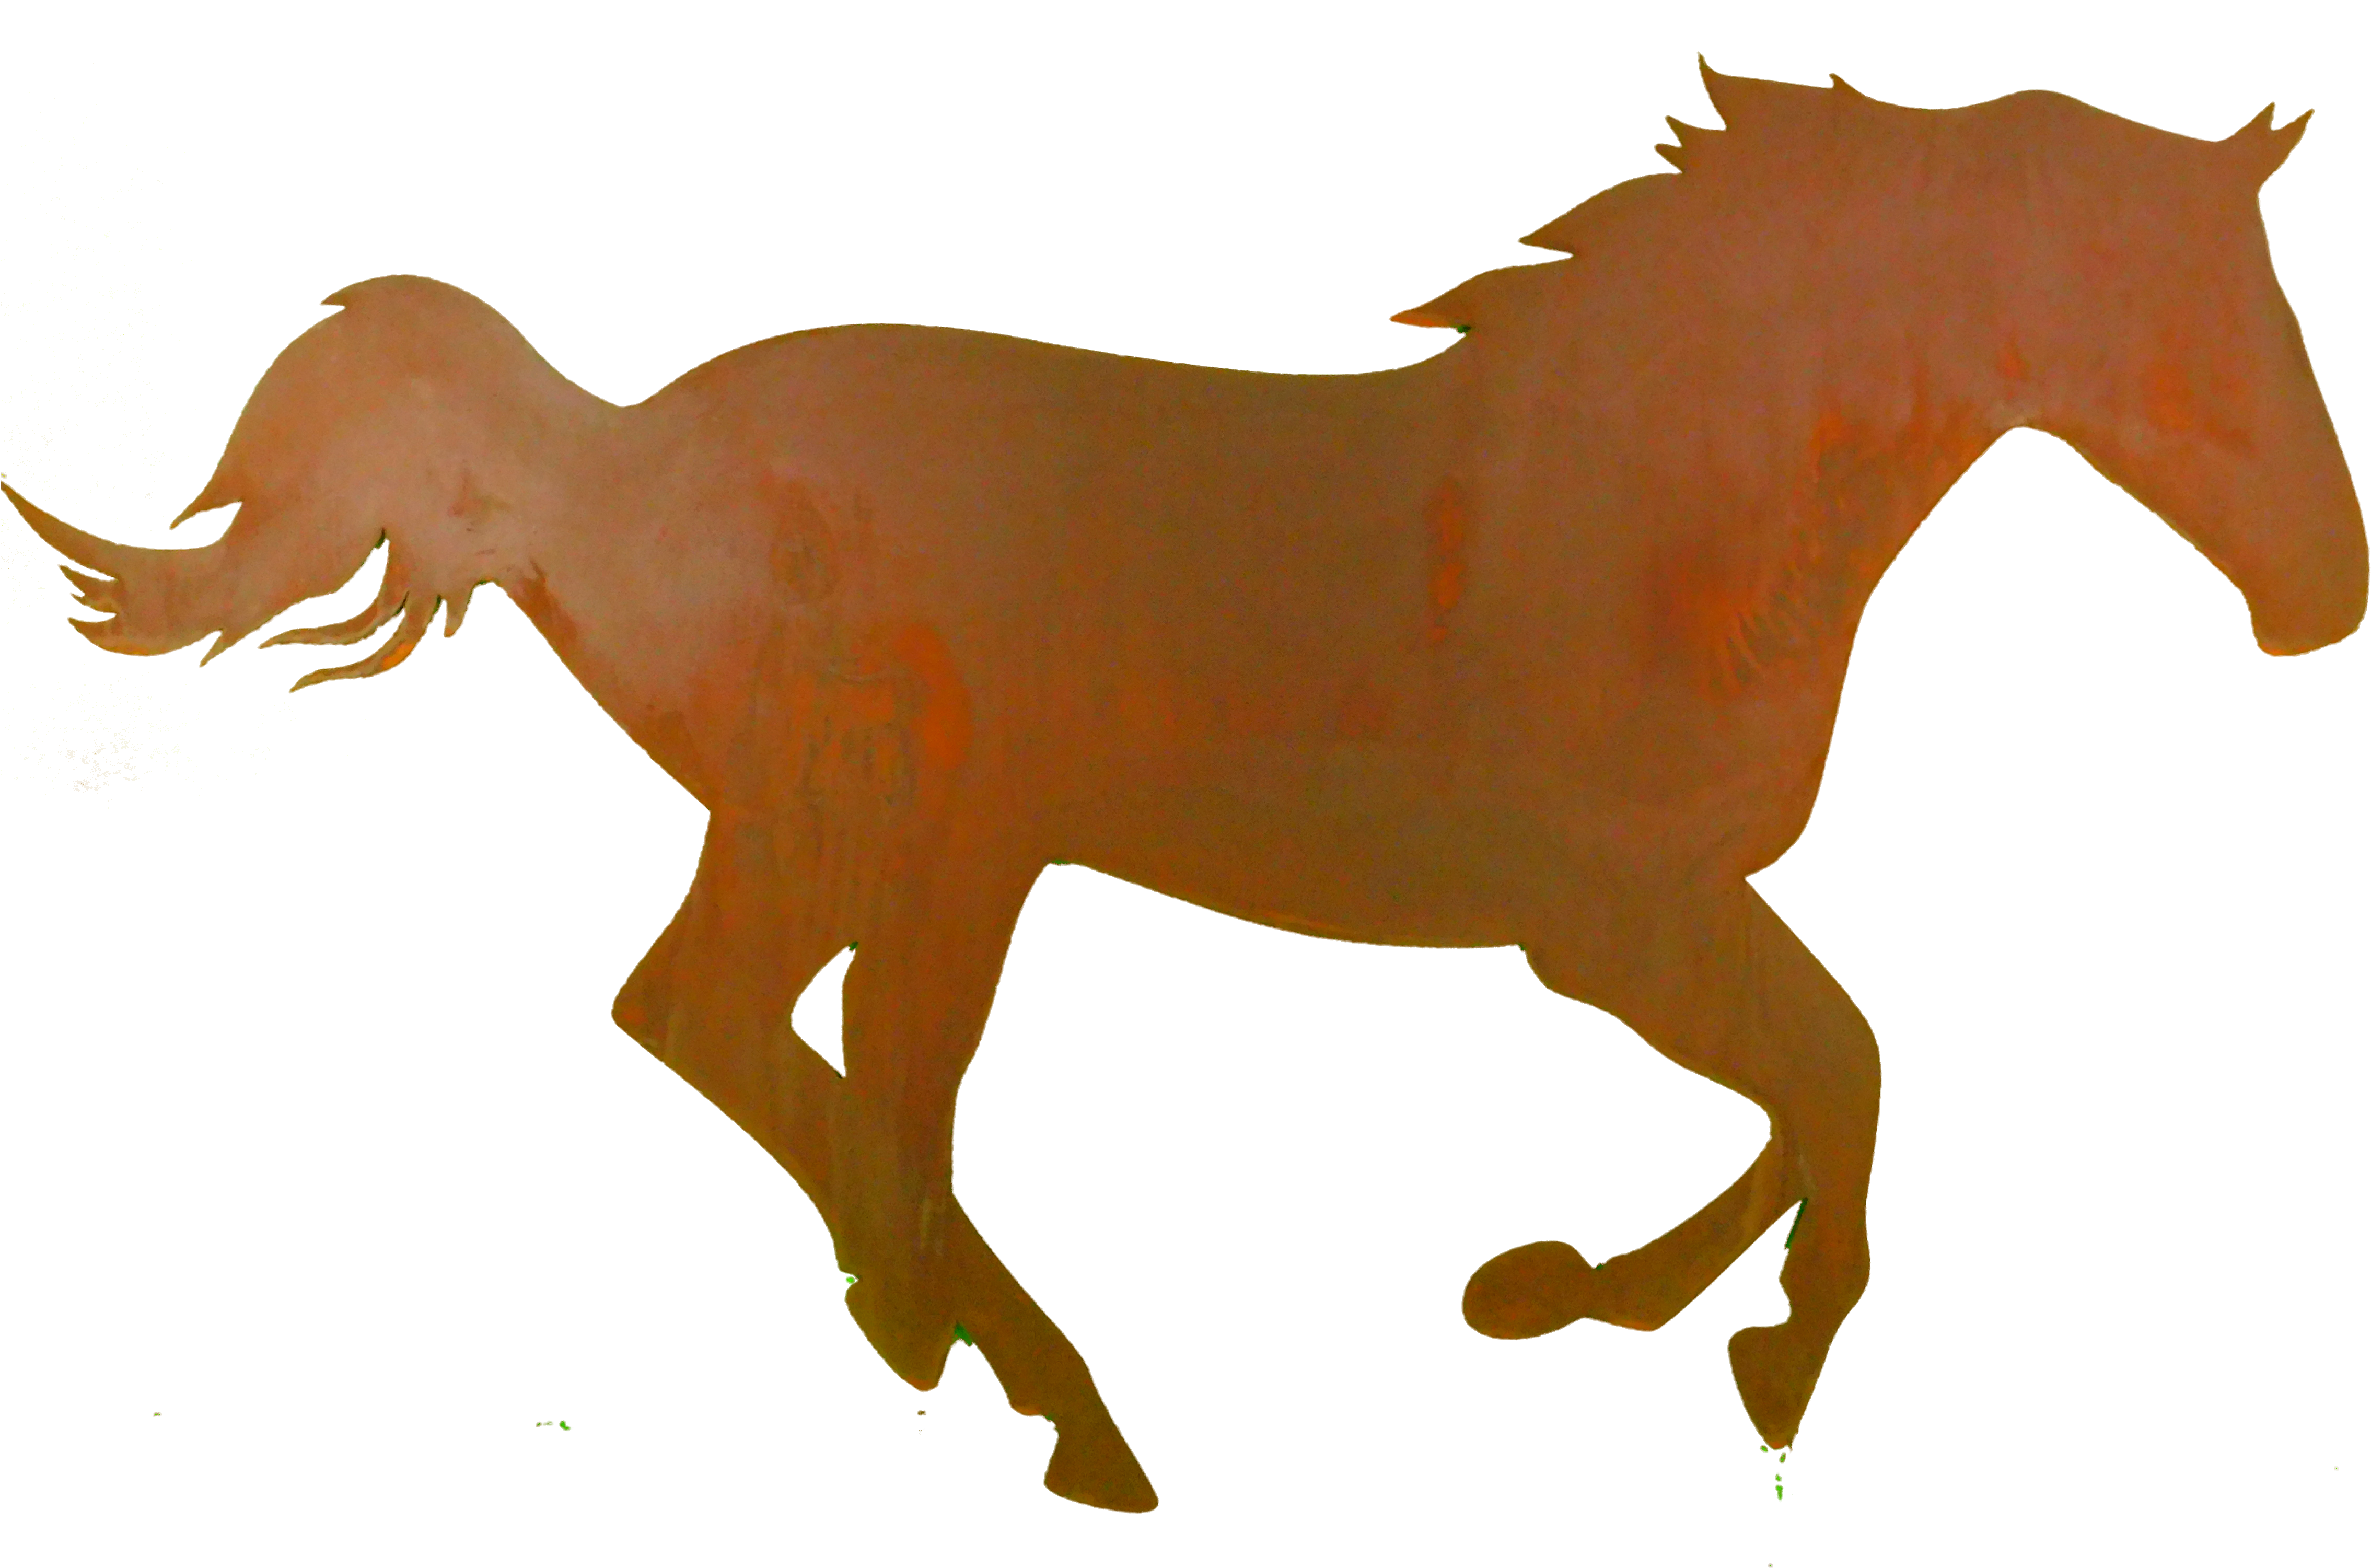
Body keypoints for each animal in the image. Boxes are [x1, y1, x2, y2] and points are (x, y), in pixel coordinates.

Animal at [6, 56, 2358, 1513]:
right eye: (2189, 314)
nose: (2327, 600)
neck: (1636, 508)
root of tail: (602, 456)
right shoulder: (1605, 925)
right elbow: (1845, 1070)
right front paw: (1758, 1362)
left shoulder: (1665, 920)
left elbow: (1823, 1086)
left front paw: (1565, 1295)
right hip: (894, 832)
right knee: (779, 1049)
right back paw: (1022, 1383)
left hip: (898, 852)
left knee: (790, 1050)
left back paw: (967, 1355)